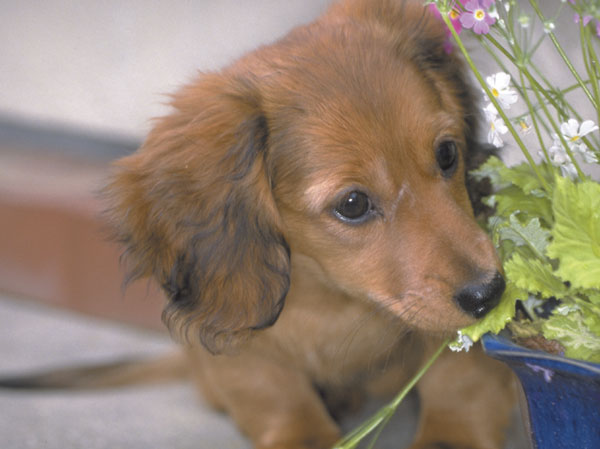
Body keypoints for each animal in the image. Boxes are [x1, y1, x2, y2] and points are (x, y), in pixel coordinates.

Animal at [104, 0, 516, 448]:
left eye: (446, 154)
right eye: (353, 204)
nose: (488, 293)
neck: (334, 300)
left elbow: (458, 376)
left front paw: (451, 434)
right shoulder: (244, 346)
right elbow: (278, 396)